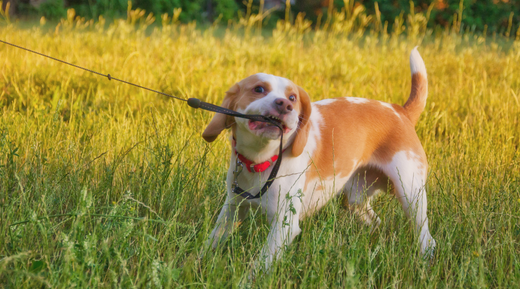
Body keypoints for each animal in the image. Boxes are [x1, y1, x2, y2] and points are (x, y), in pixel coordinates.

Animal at [202, 47, 434, 270]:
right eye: (258, 89)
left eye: (293, 98)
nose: (285, 104)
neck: (262, 161)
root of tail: (399, 110)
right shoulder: (232, 209)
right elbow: (211, 241)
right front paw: (198, 263)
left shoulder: (284, 226)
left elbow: (258, 266)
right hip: (355, 199)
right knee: (374, 221)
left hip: (410, 194)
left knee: (427, 238)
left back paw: (425, 261)